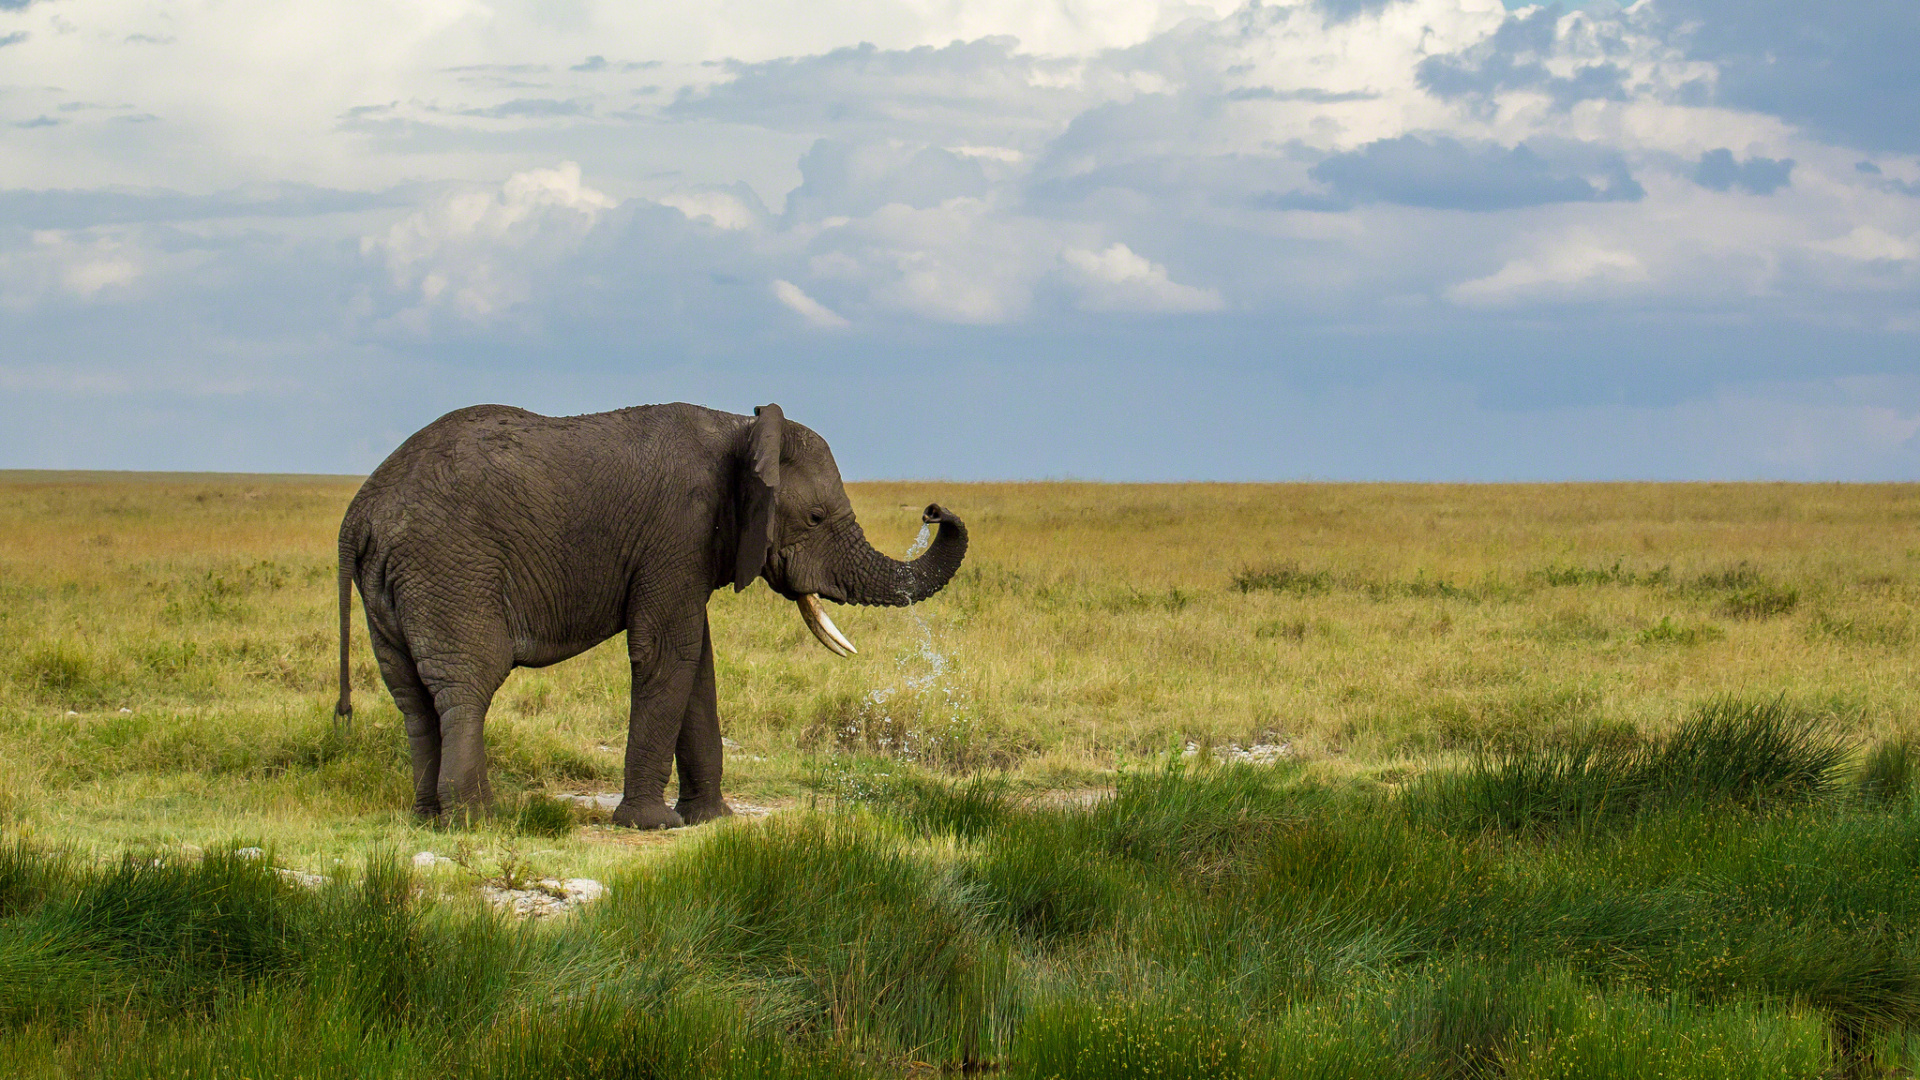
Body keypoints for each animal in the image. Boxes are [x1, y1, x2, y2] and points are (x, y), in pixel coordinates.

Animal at [332, 402, 967, 828]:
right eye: (814, 518)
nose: (934, 510)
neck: (740, 427)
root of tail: (358, 514)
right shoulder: (677, 531)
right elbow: (668, 652)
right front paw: (652, 824)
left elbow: (697, 663)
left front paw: (712, 819)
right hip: (450, 569)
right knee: (467, 686)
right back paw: (480, 820)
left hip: (392, 587)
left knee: (413, 697)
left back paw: (427, 817)